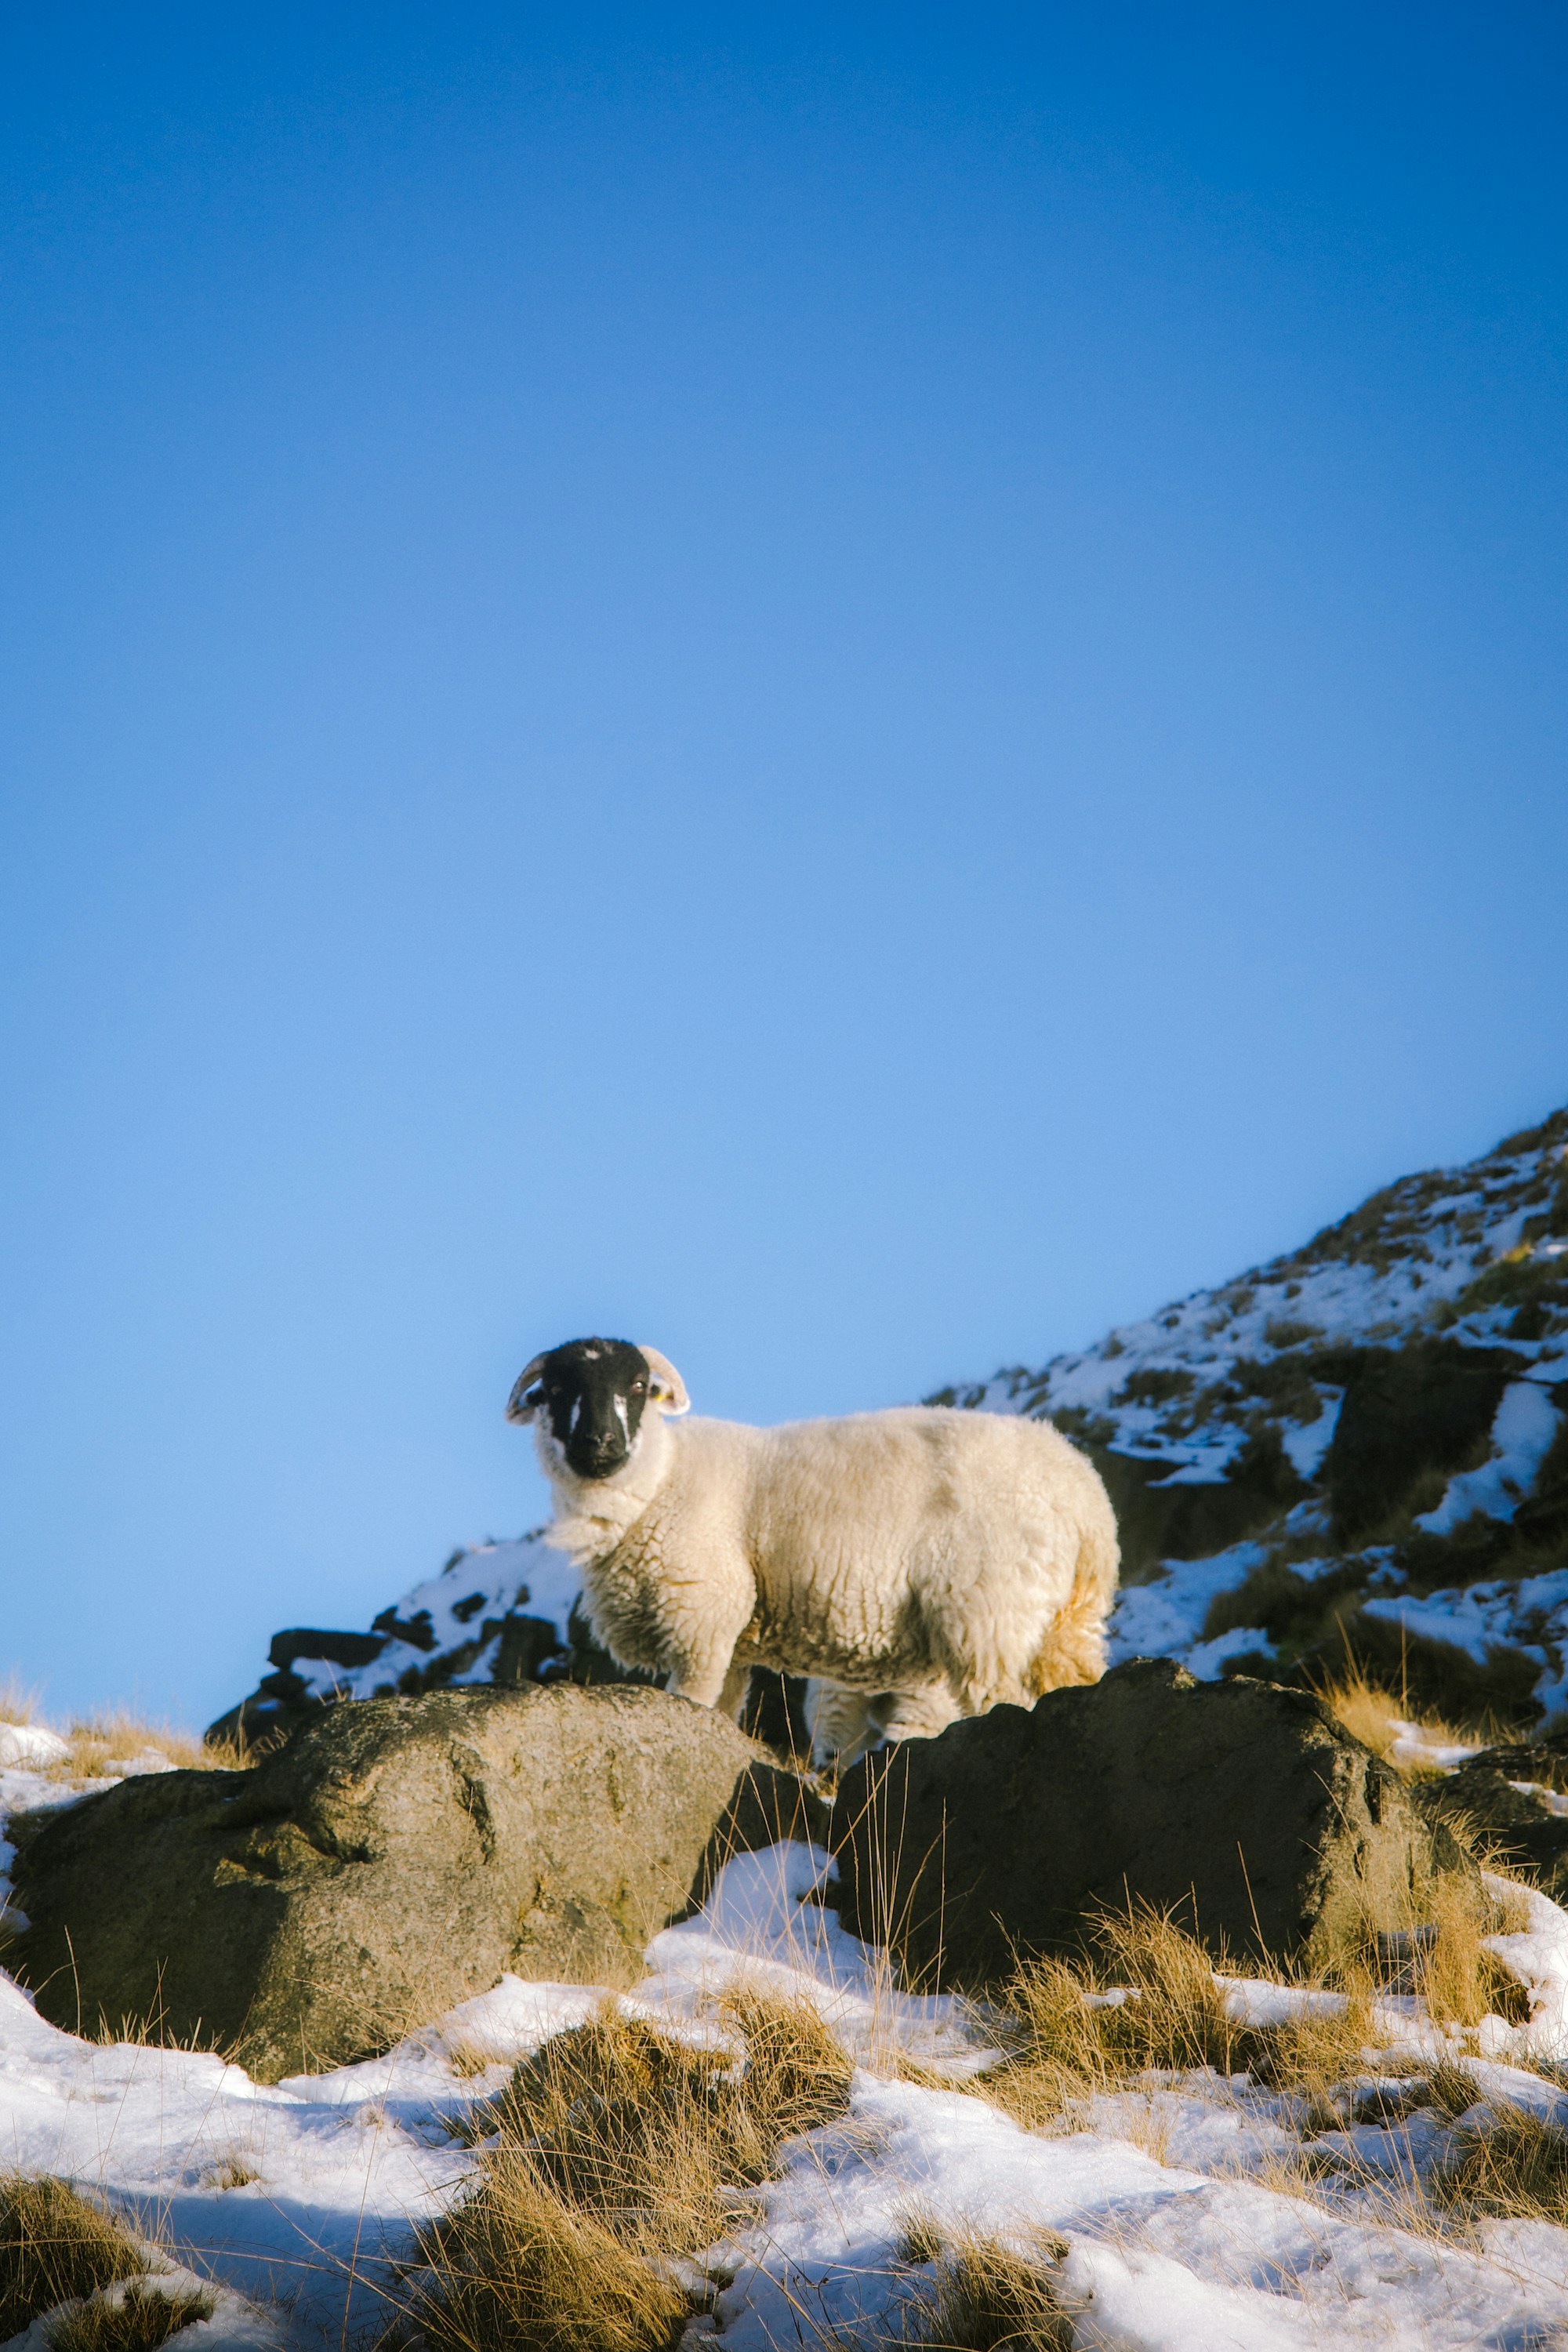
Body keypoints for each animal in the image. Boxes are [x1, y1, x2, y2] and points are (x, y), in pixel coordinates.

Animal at [506, 1336, 1119, 1767]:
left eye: (637, 1386)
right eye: (556, 1392)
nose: (600, 1442)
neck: (656, 1481)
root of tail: (1084, 1494)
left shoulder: (701, 1619)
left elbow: (694, 1704)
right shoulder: (729, 1641)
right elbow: (720, 1713)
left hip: (989, 1613)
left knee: (1000, 1700)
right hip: (1066, 1626)